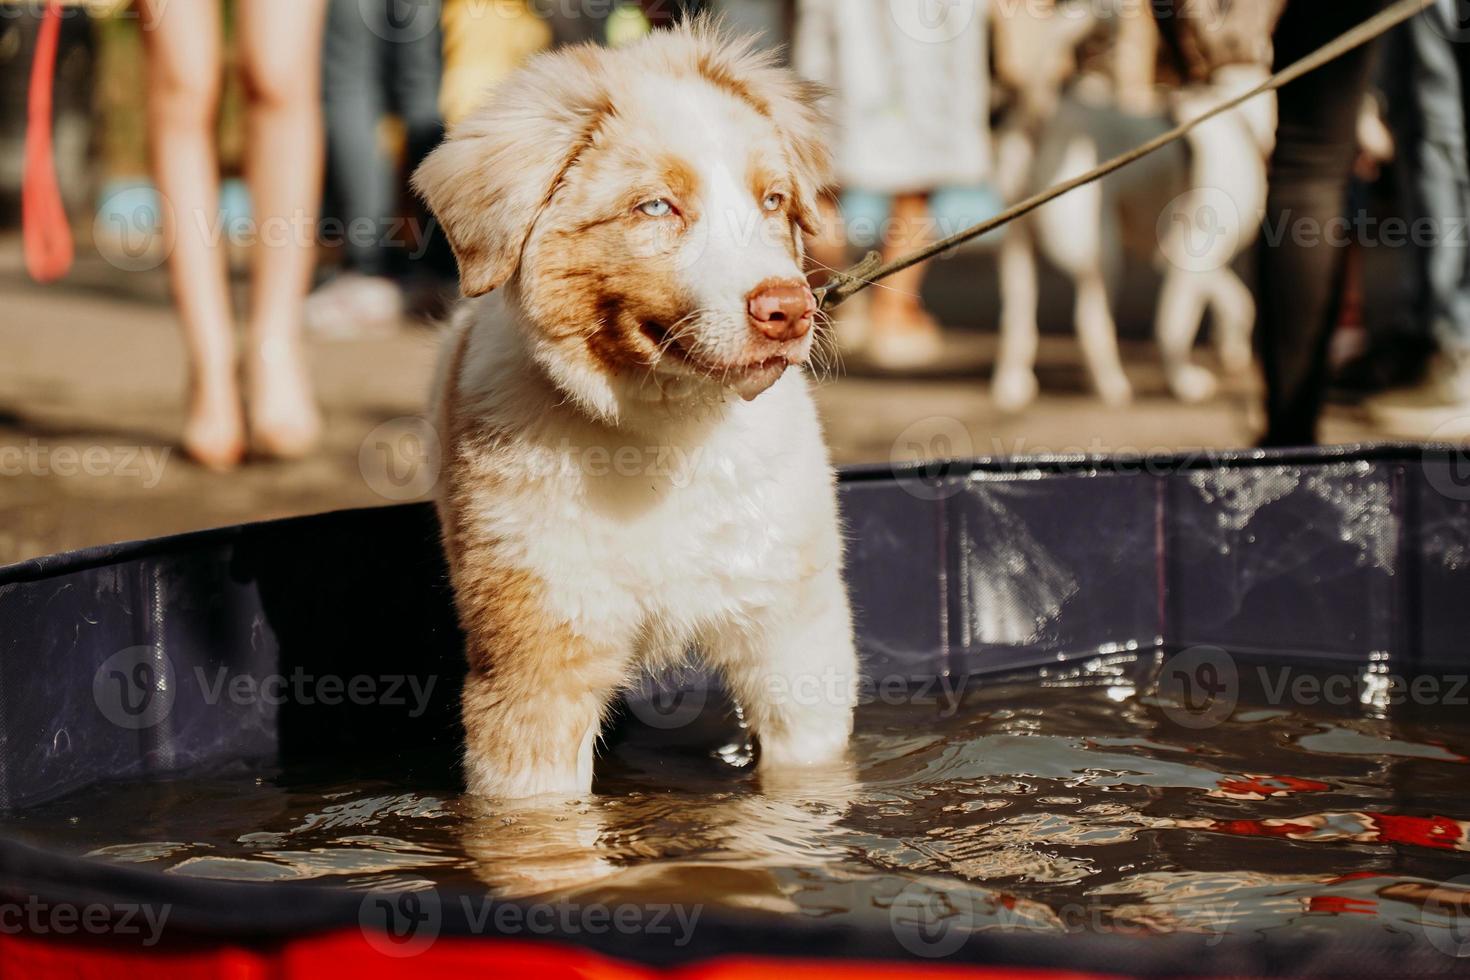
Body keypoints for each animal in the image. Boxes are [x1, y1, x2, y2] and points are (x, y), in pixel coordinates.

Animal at [408, 21, 858, 805]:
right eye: (655, 208)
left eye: (773, 200)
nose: (790, 309)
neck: (663, 437)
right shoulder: (536, 662)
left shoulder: (795, 643)